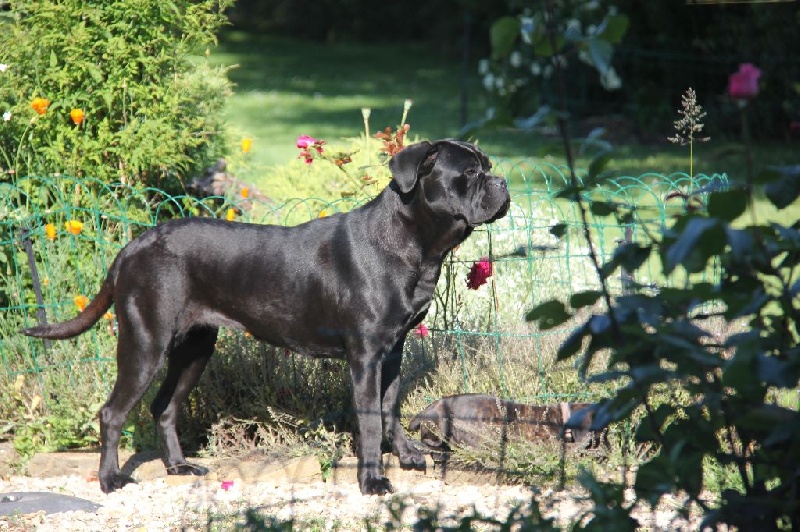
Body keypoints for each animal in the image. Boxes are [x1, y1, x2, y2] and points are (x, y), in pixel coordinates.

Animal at [20, 139, 512, 496]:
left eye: (486, 166)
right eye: (470, 173)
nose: (503, 181)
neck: (413, 242)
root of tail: (131, 248)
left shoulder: (392, 351)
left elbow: (390, 407)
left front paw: (406, 455)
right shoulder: (366, 355)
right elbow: (371, 418)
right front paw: (372, 480)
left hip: (195, 349)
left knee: (164, 407)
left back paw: (179, 467)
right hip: (146, 343)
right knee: (113, 412)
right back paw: (110, 480)